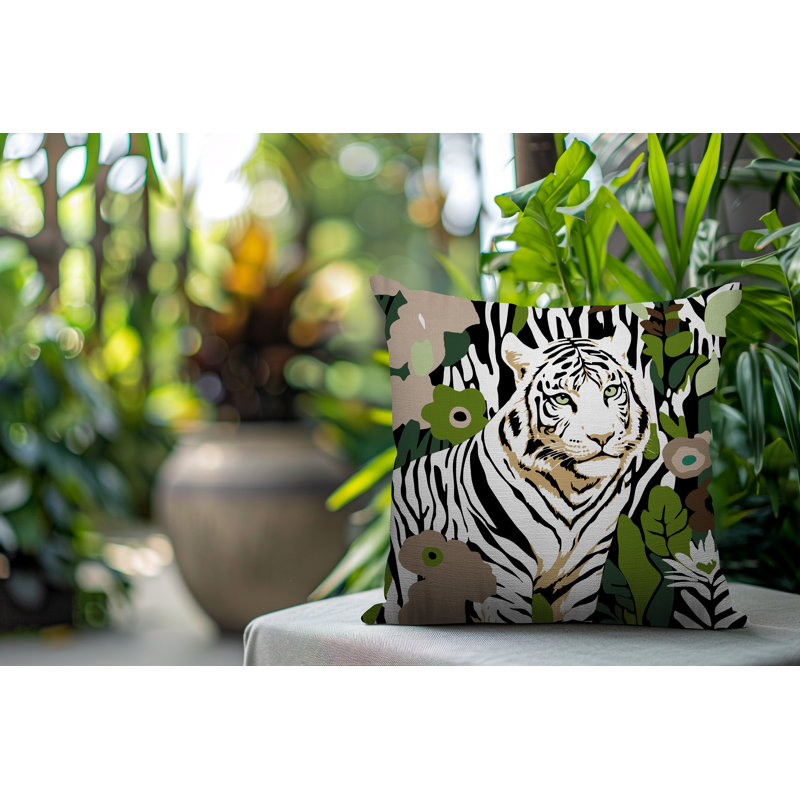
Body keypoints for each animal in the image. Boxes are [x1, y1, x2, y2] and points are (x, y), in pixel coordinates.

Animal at [385, 331, 653, 624]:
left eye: (611, 391)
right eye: (562, 399)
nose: (602, 437)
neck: (576, 490)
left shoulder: (584, 574)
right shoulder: (501, 577)